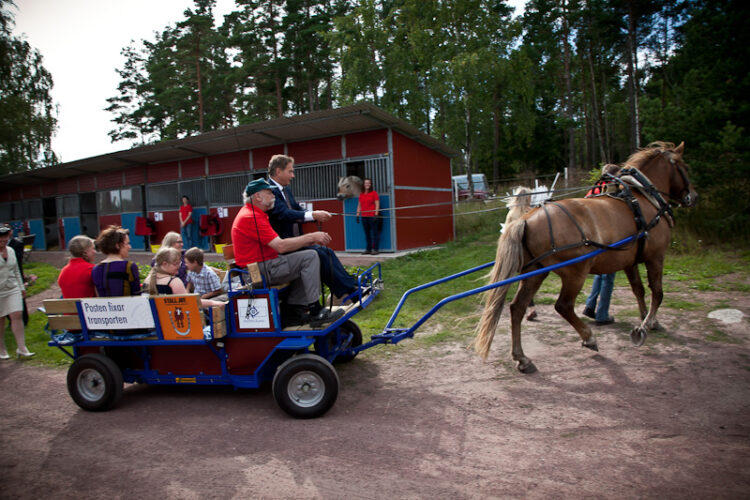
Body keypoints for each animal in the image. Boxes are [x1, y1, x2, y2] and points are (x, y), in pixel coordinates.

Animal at [476, 143, 700, 374]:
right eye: (685, 167)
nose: (693, 196)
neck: (643, 199)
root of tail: (525, 219)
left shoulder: (629, 261)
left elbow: (638, 290)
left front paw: (648, 319)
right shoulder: (656, 256)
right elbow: (657, 292)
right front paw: (644, 327)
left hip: (535, 272)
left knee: (517, 308)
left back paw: (522, 358)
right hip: (575, 272)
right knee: (563, 306)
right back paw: (588, 338)